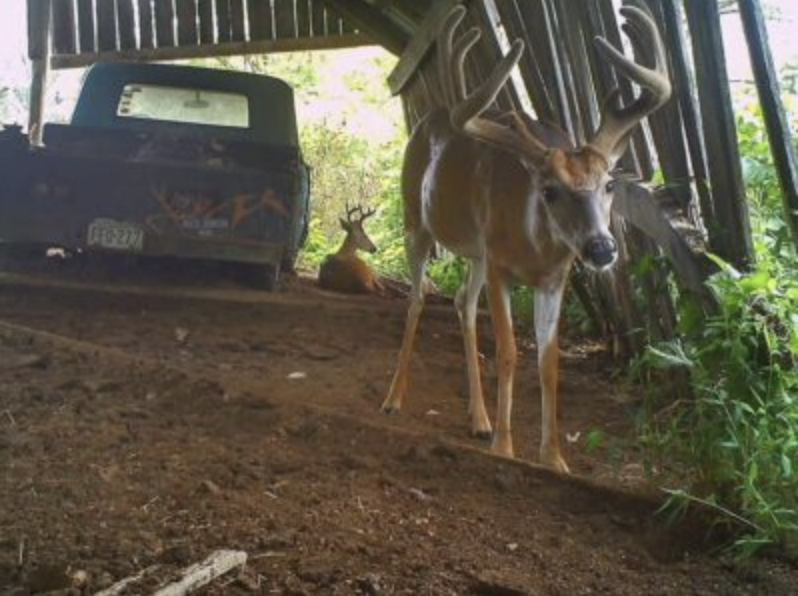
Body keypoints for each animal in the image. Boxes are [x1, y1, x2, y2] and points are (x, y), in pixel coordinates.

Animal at [381, 5, 671, 473]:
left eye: (610, 184)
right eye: (549, 190)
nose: (601, 248)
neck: (534, 248)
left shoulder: (552, 277)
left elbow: (548, 361)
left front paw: (553, 458)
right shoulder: (501, 266)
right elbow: (509, 351)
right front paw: (505, 448)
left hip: (475, 253)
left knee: (462, 302)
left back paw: (478, 418)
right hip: (415, 221)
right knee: (417, 299)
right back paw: (394, 398)